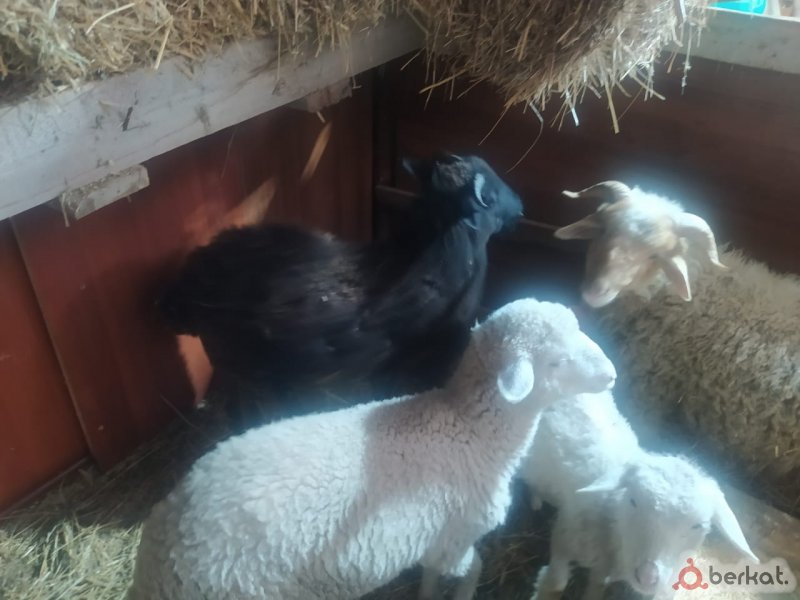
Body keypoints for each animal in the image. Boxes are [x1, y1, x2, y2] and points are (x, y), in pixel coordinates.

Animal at [128, 298, 617, 600]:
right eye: (555, 362)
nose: (612, 374)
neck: (469, 428)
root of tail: (160, 558)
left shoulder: (435, 539)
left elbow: (430, 574)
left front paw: (426, 595)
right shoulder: (456, 537)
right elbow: (474, 567)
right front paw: (463, 594)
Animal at [521, 391, 757, 600]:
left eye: (698, 526)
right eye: (633, 501)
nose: (647, 577)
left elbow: (595, 590)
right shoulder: (564, 537)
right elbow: (555, 583)